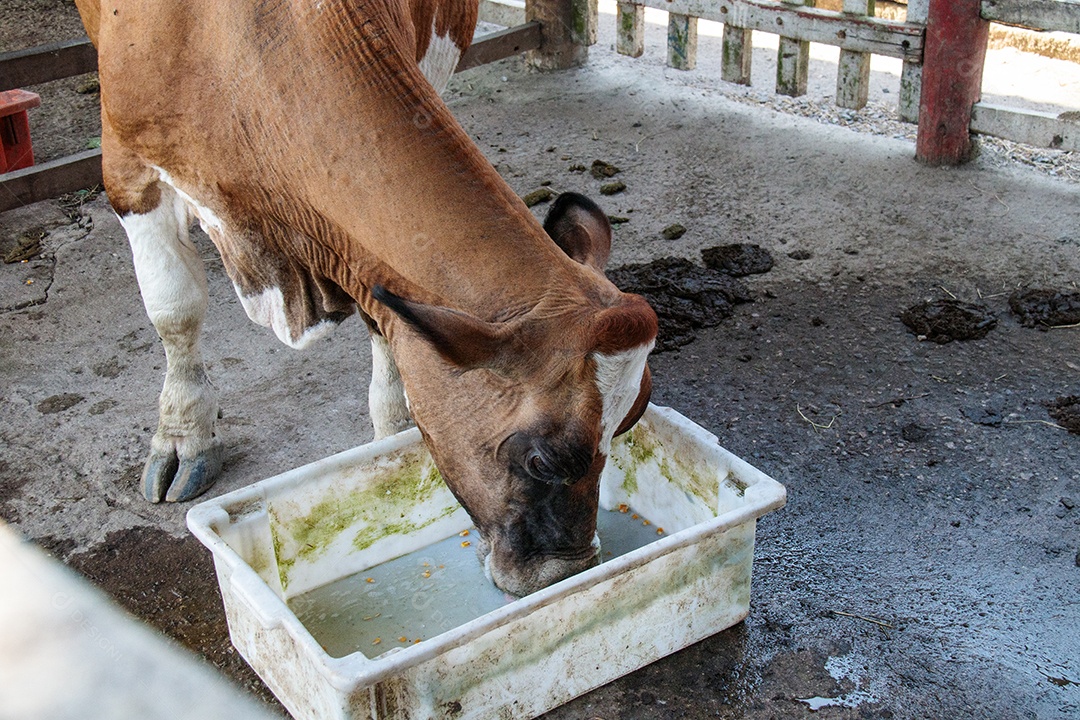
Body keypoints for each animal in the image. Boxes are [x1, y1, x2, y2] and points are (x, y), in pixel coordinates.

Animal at [75, 0, 657, 597]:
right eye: (541, 461)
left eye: (630, 421)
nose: (565, 571)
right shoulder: (125, 163)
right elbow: (175, 307)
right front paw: (182, 434)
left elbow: (385, 324)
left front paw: (388, 438)